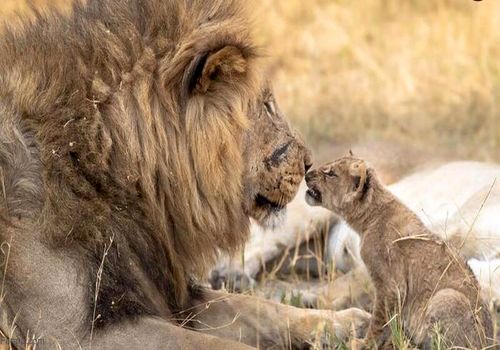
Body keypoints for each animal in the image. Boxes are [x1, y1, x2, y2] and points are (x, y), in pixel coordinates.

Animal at [0, 0, 368, 350]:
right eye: (266, 106)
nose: (308, 163)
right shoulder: (69, 334)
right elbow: (223, 345)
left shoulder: (172, 295)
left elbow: (260, 309)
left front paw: (347, 323)